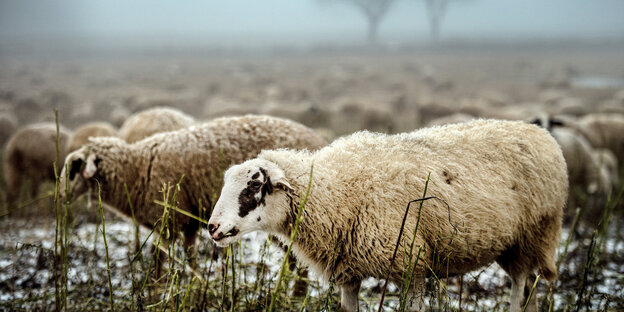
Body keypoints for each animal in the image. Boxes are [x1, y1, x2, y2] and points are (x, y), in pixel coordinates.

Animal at [61, 116, 330, 266]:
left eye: (74, 168)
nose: (61, 196)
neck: (138, 168)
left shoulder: (168, 223)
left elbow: (158, 264)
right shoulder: (187, 223)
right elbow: (191, 260)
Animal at [210, 119, 572, 312]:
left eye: (253, 187)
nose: (212, 228)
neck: (334, 189)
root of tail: (540, 133)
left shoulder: (411, 264)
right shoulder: (348, 272)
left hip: (534, 235)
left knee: (520, 286)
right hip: (514, 245)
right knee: (529, 290)